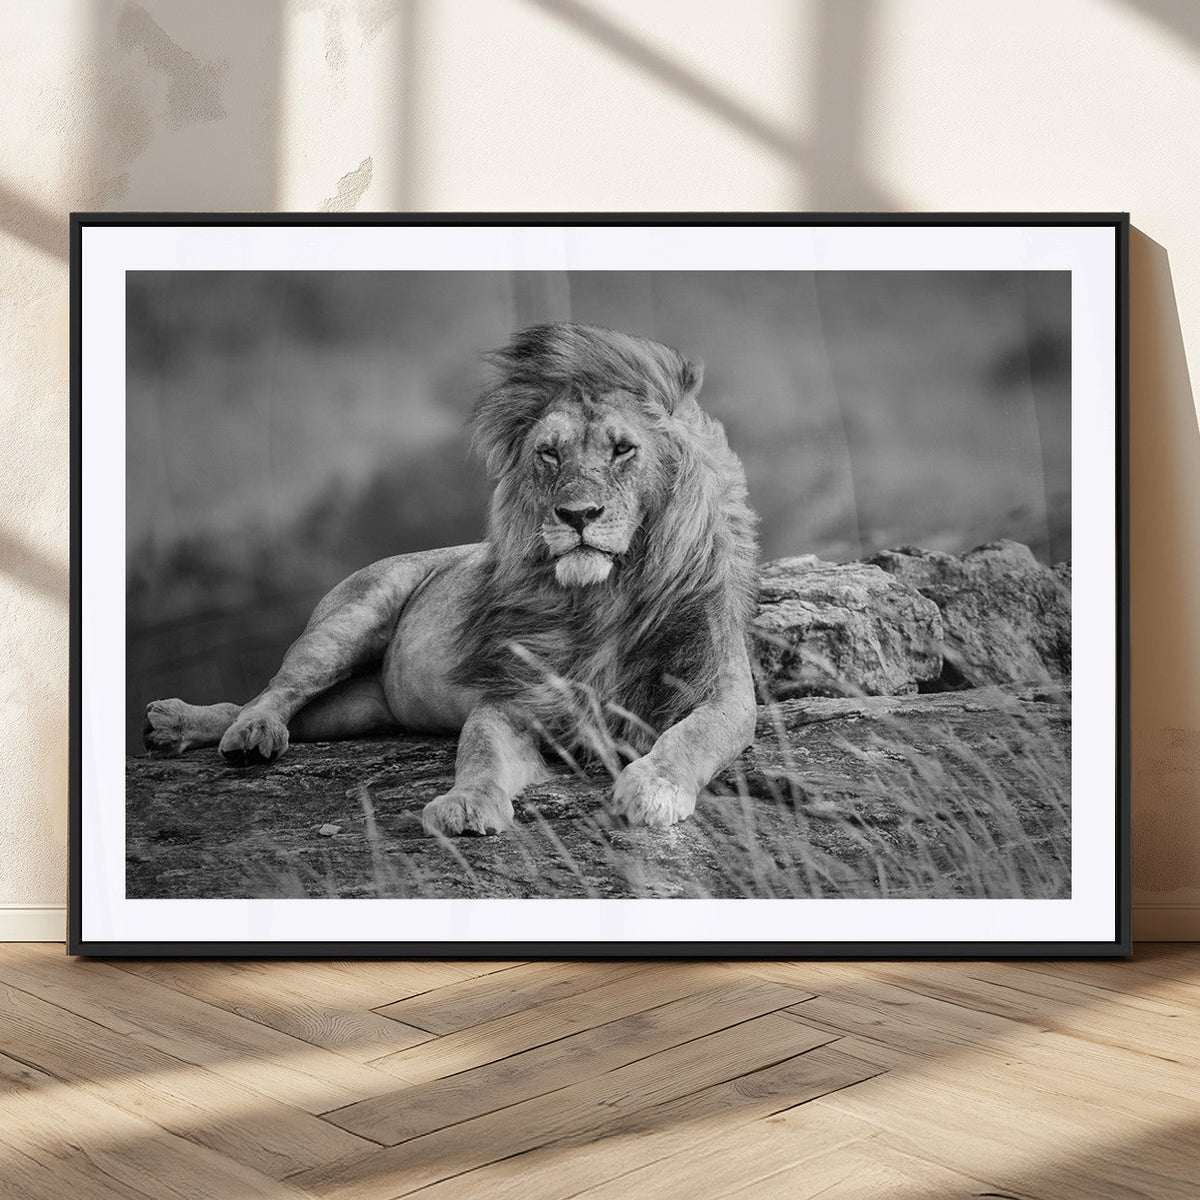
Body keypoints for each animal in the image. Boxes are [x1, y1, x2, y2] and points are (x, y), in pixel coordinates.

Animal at [143, 322, 759, 834]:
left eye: (623, 448)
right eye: (549, 454)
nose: (577, 515)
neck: (602, 598)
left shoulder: (722, 690)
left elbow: (693, 735)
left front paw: (653, 788)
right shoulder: (512, 697)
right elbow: (479, 751)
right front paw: (466, 804)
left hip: (358, 708)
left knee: (283, 709)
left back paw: (179, 726)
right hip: (349, 619)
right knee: (275, 691)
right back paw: (235, 732)